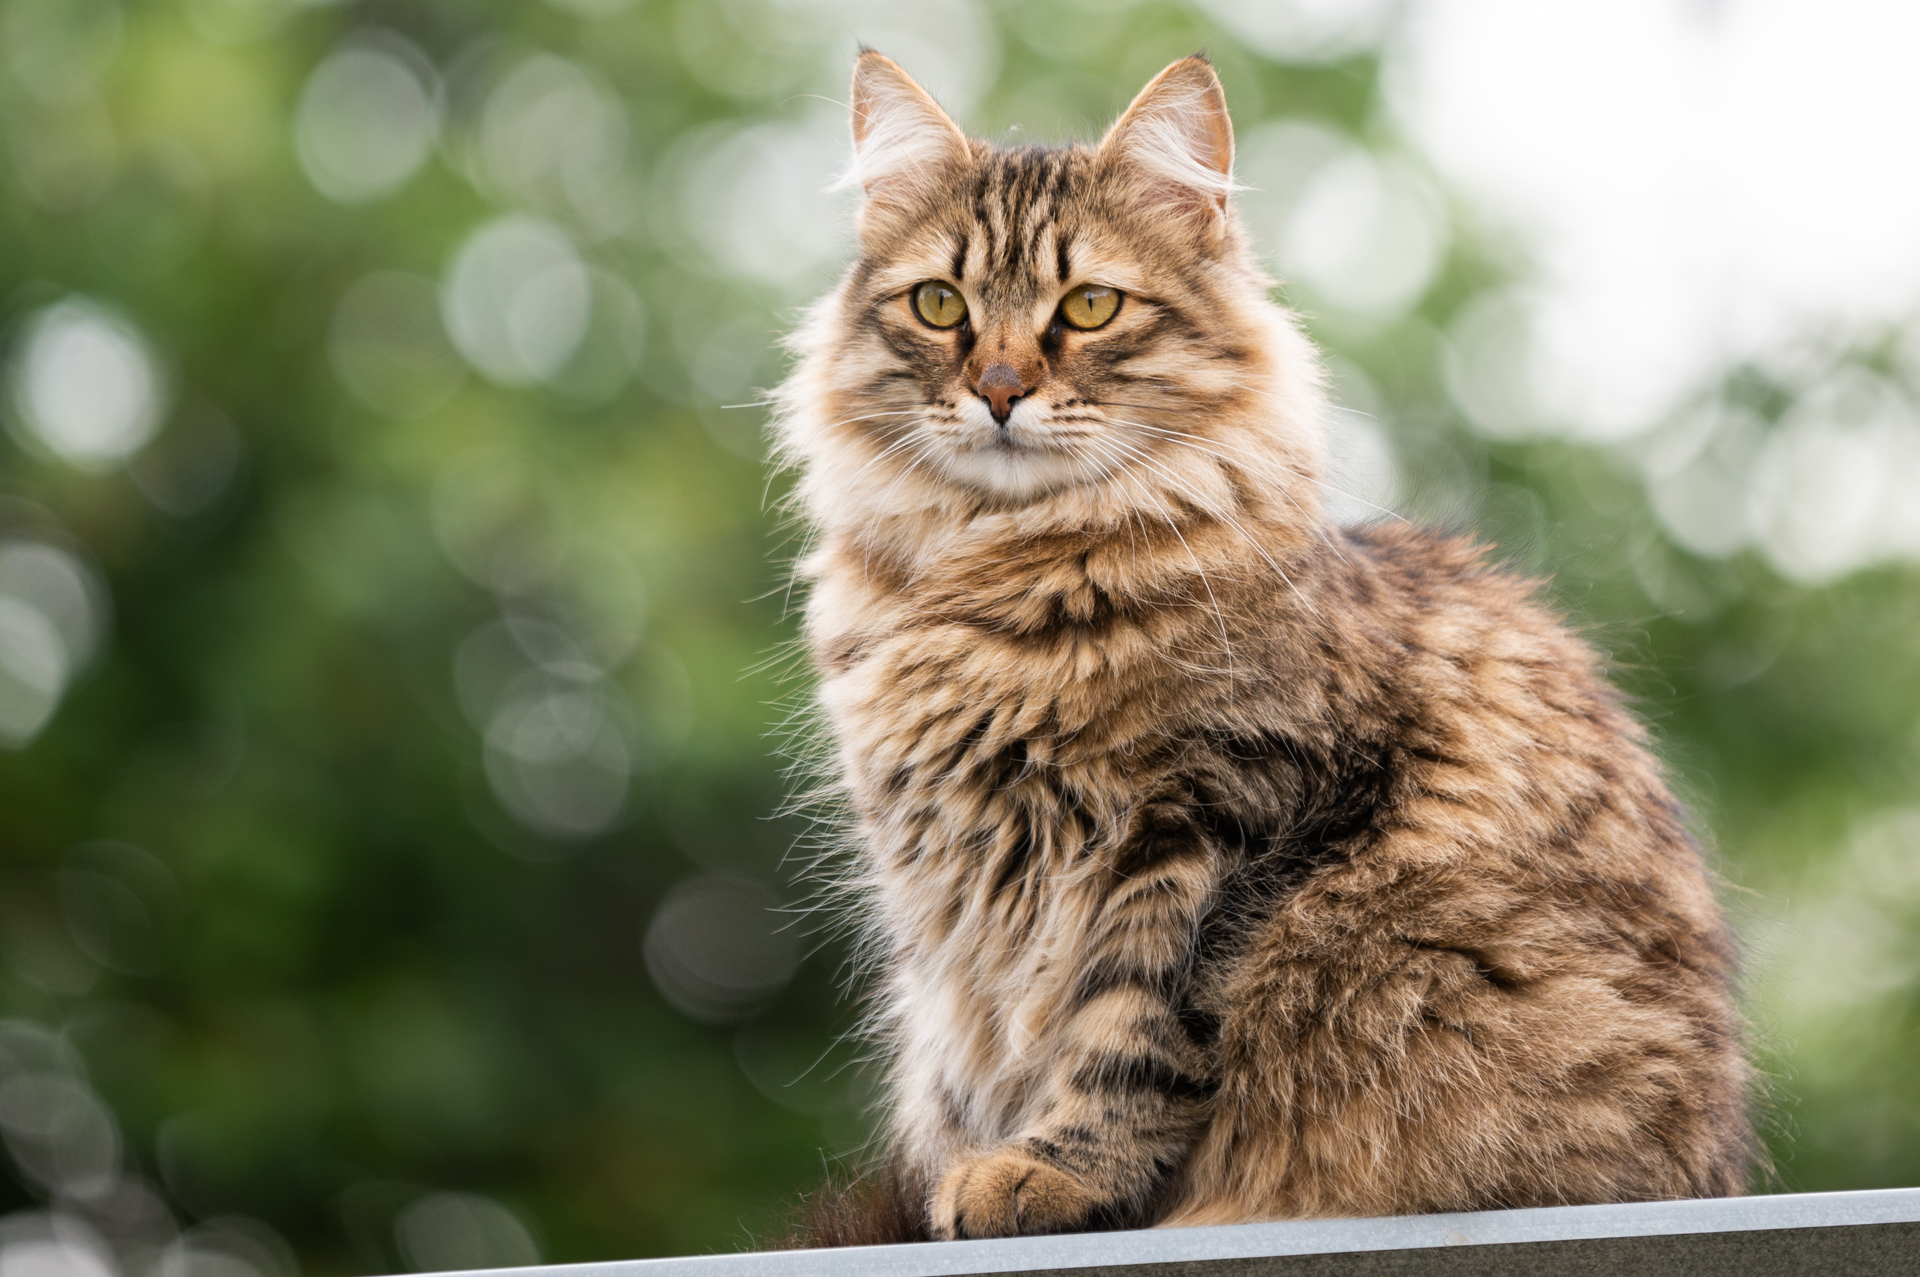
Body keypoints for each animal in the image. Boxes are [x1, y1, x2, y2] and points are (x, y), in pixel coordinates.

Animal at [768, 54, 1758, 1236]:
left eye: (1089, 307)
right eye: (940, 304)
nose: (998, 391)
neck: (996, 580)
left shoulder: (1213, 824)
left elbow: (1128, 1034)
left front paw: (1051, 1173)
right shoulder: (947, 884)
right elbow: (983, 1052)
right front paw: (976, 1170)